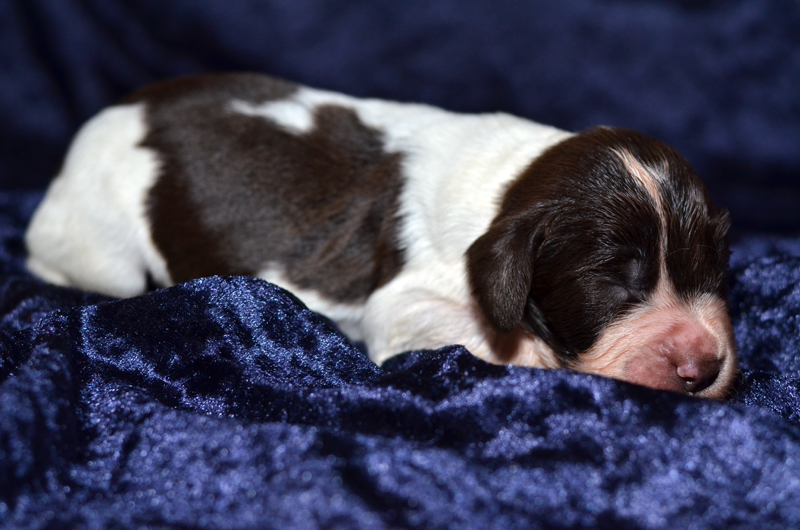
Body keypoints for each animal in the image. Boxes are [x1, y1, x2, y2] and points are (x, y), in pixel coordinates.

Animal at [25, 73, 736, 396]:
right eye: (610, 280)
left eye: (714, 266)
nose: (703, 369)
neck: (514, 184)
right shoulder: (402, 301)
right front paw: (529, 354)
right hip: (101, 243)